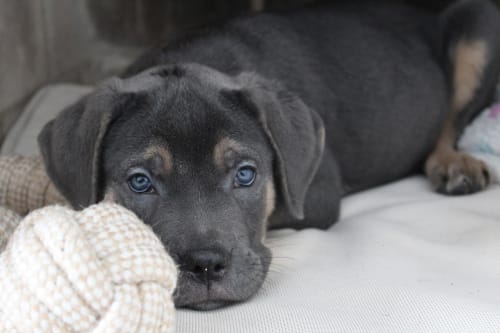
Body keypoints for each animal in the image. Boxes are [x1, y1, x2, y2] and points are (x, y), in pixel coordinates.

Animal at [38, 1, 500, 310]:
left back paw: (454, 165)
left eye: (246, 175)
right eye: (140, 182)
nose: (206, 266)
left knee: (449, 124)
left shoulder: (314, 193)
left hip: (480, 25)